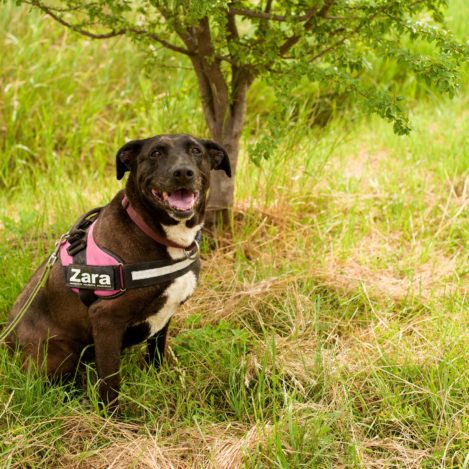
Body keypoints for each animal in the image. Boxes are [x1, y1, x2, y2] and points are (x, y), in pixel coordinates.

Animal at [6, 134, 231, 409]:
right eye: (155, 153)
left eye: (196, 151)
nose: (183, 172)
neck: (153, 231)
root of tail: (6, 343)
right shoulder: (106, 320)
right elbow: (111, 381)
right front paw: (111, 415)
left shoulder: (165, 315)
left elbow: (156, 353)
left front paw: (157, 380)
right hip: (59, 353)